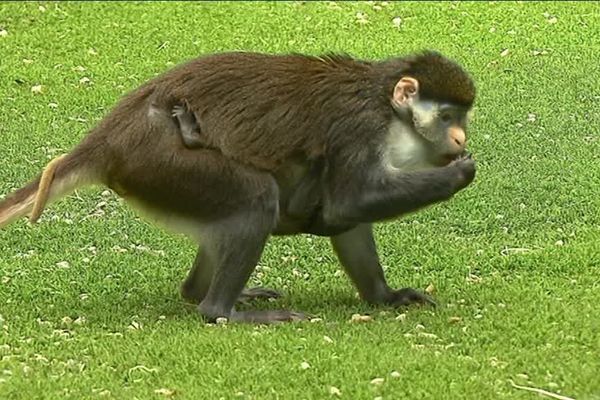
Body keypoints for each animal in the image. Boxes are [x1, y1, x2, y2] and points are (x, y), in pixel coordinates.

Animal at [0, 50, 478, 324]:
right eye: (448, 116)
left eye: (461, 117)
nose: (460, 139)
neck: (389, 110)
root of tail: (109, 138)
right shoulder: (360, 128)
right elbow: (348, 204)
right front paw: (459, 175)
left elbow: (348, 219)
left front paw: (385, 297)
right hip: (160, 163)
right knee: (256, 199)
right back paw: (219, 311)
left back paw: (201, 293)